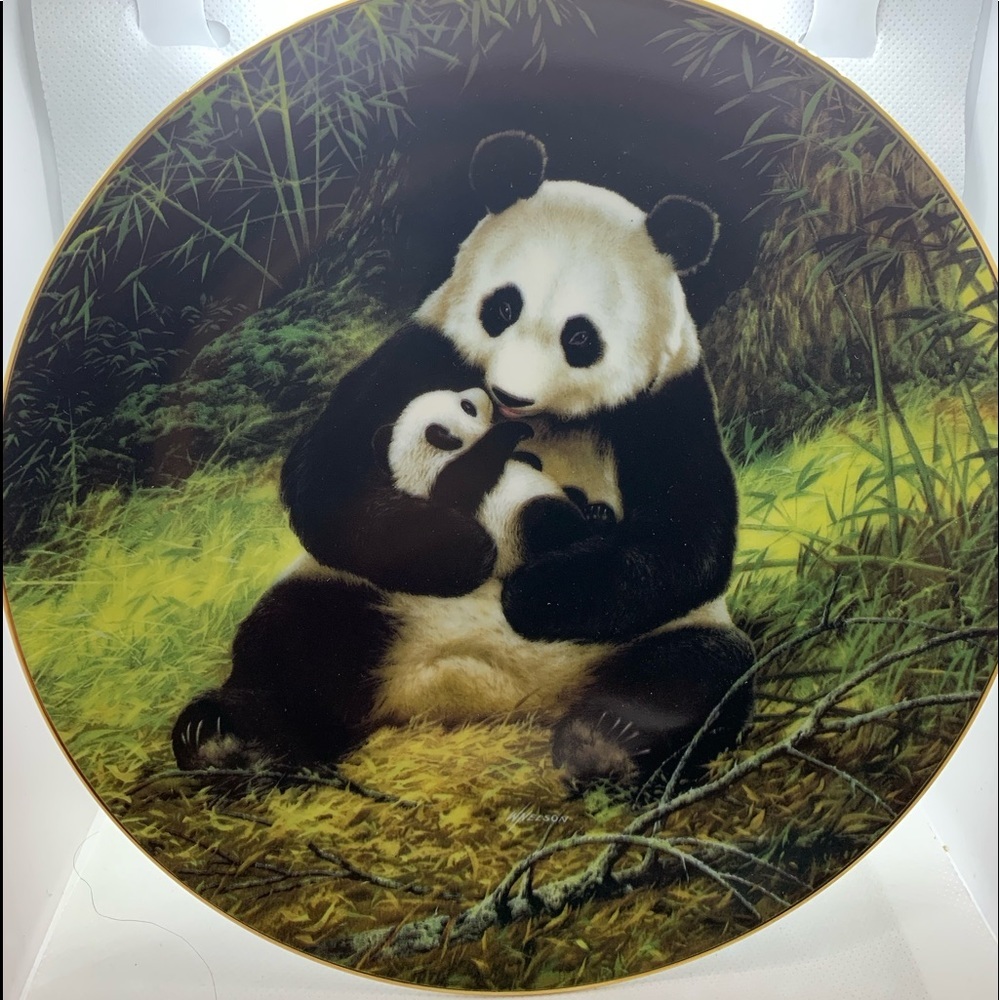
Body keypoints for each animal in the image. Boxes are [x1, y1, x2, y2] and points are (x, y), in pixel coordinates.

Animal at [172, 131, 755, 785]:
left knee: (701, 669)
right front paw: (464, 550)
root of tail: (474, 688)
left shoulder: (667, 404)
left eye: (580, 337)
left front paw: (534, 593)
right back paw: (228, 739)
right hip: (367, 596)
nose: (509, 394)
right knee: (293, 640)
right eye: (502, 308)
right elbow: (327, 477)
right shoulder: (425, 350)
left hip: (646, 638)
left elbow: (689, 536)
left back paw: (606, 742)